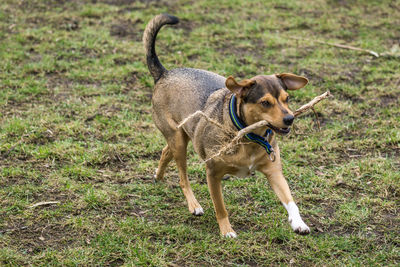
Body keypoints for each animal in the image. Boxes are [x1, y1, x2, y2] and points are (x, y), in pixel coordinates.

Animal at [144, 13, 312, 238]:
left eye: (287, 99)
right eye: (265, 103)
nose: (290, 119)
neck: (249, 137)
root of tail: (164, 73)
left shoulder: (273, 171)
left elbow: (290, 200)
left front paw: (298, 223)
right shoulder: (213, 174)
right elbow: (220, 207)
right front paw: (227, 231)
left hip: (181, 135)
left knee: (165, 151)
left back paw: (159, 176)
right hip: (178, 141)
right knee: (182, 177)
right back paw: (193, 204)